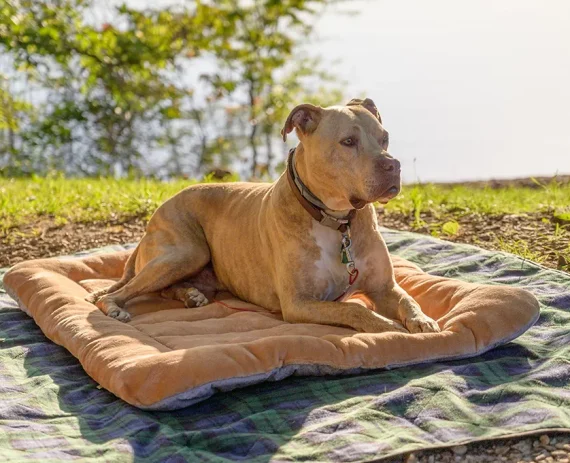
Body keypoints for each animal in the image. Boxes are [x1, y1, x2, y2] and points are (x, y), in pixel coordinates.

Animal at [86, 99, 440, 336]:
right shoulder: (298, 303)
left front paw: (422, 319)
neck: (335, 221)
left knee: (164, 288)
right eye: (348, 142)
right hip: (186, 252)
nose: (393, 165)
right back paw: (116, 306)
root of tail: (155, 215)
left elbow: (408, 301)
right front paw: (387, 326)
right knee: (118, 293)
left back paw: (191, 294)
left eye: (384, 138)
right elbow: (351, 308)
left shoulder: (385, 288)